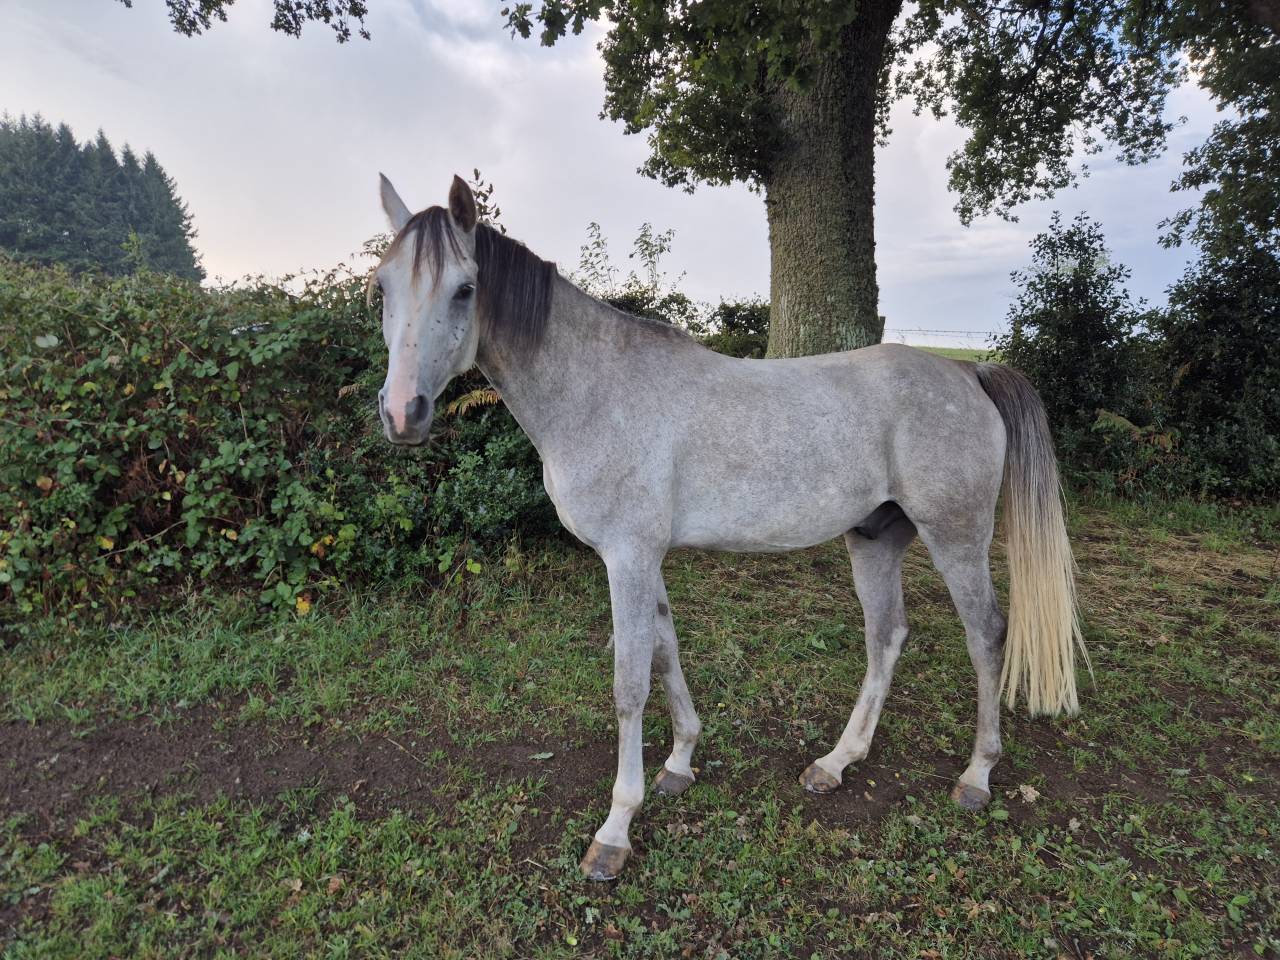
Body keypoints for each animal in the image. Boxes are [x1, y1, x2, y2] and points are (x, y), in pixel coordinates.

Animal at [370, 174, 1087, 881]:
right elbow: (666, 650)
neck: (597, 390)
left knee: (986, 635)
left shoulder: (627, 557)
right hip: (875, 539)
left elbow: (629, 683)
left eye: (465, 289)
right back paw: (836, 762)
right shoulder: (645, 558)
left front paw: (615, 830)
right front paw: (680, 762)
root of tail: (968, 371)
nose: (403, 412)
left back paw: (977, 775)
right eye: (382, 287)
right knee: (886, 636)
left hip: (956, 538)